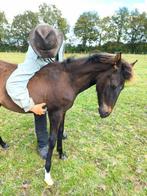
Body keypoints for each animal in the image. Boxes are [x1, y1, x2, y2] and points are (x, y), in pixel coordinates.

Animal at [0, 52, 137, 185]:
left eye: (122, 88)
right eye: (113, 85)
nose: (105, 113)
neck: (66, 79)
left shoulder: (63, 111)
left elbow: (60, 133)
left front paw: (61, 154)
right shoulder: (55, 113)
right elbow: (52, 140)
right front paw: (47, 175)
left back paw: (4, 145)